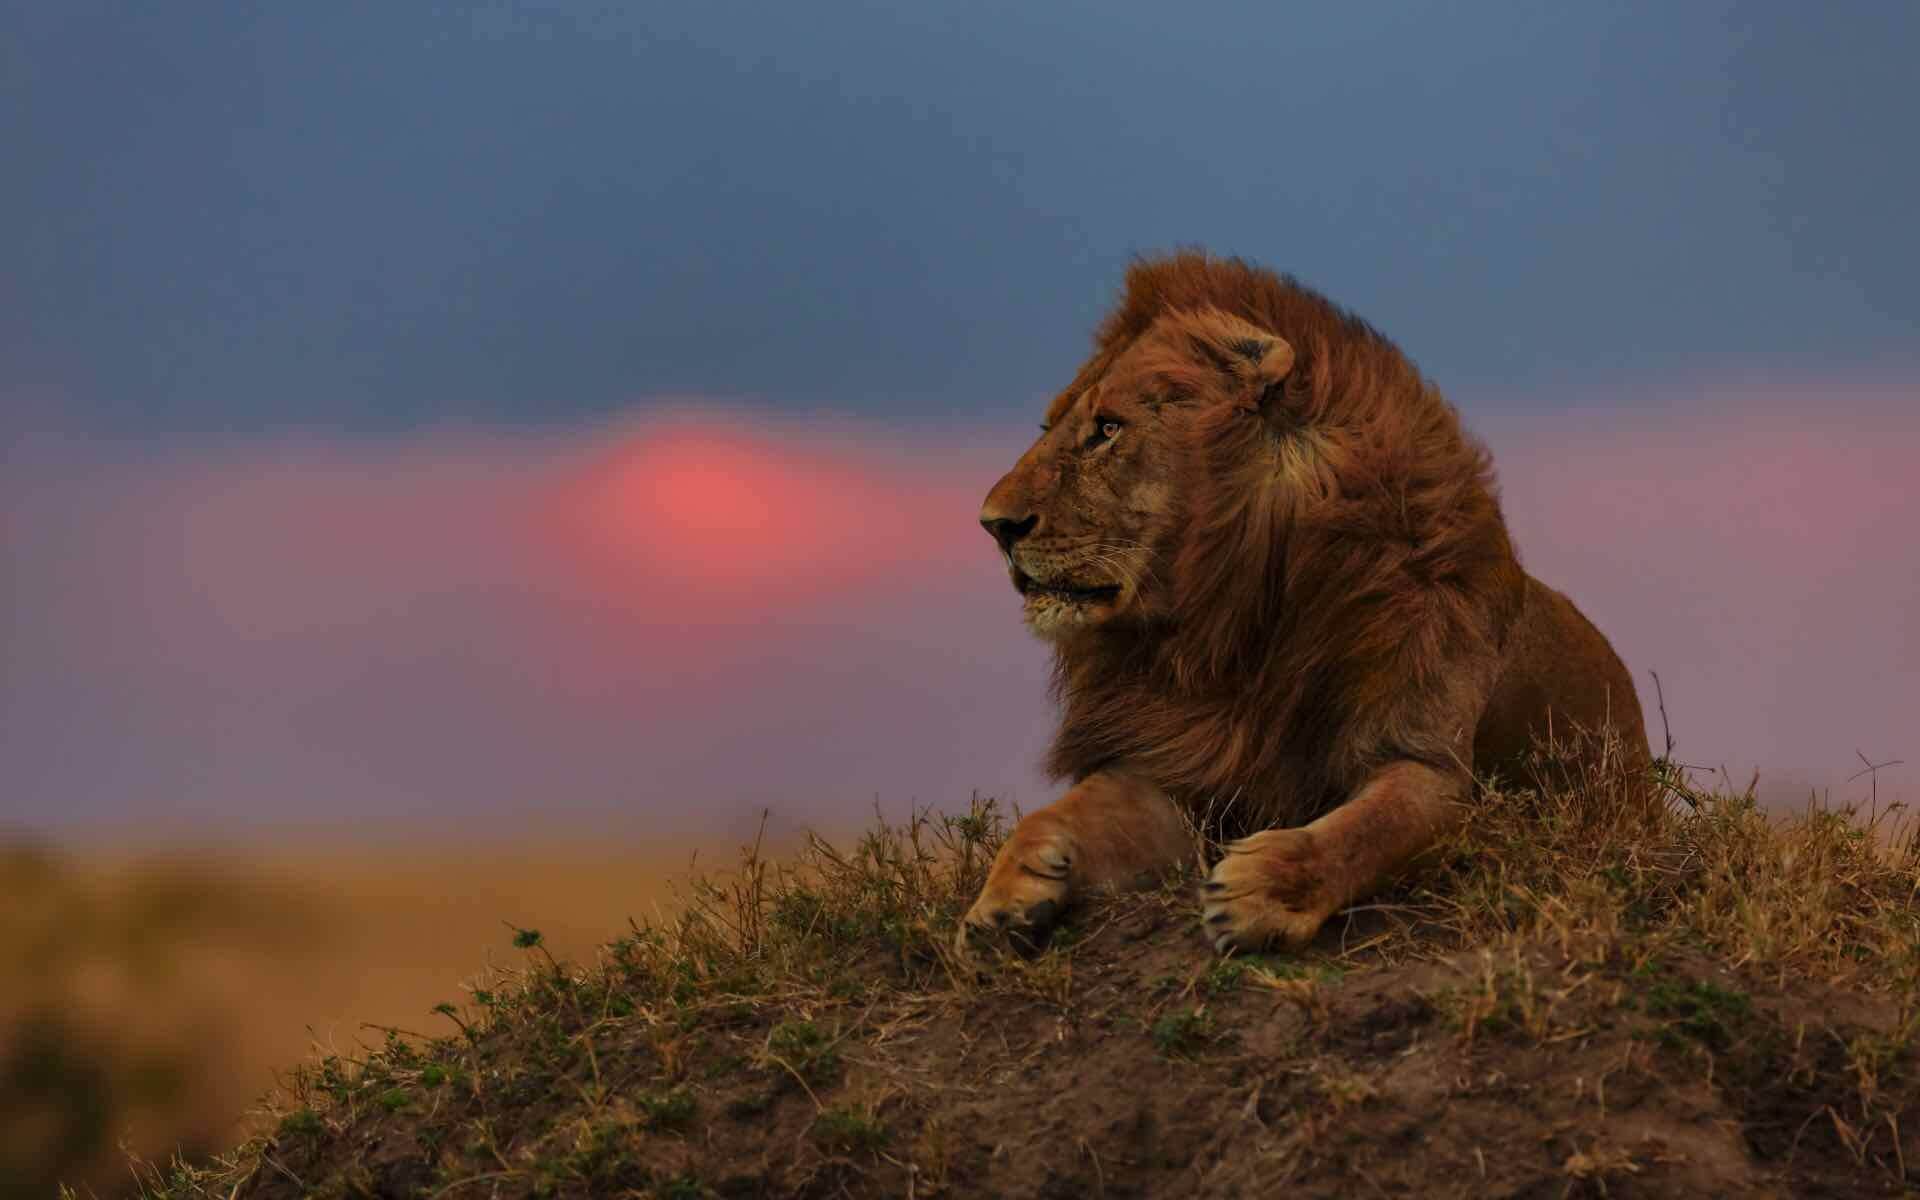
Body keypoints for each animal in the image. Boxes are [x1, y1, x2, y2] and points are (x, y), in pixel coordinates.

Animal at [960, 251, 1650, 956]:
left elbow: (1372, 829)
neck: (1231, 623)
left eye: (1107, 429)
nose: (994, 525)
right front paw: (1002, 900)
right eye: (1050, 428)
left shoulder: (1432, 764)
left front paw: (1260, 889)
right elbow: (1059, 814)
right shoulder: (1179, 765)